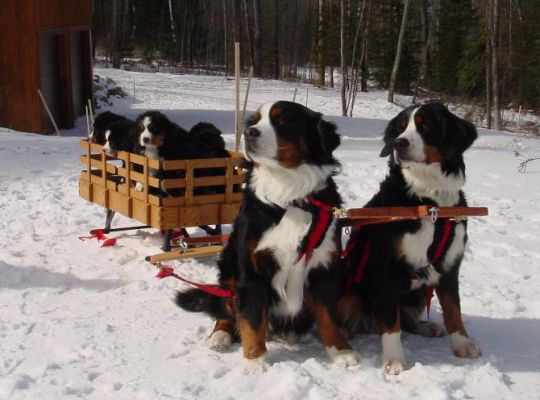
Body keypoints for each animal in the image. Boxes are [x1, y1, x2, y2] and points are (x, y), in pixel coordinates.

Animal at [177, 100, 360, 372]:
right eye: (254, 121)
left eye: (282, 120)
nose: (249, 133)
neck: (289, 192)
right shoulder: (253, 268)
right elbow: (252, 319)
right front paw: (255, 359)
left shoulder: (324, 266)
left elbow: (328, 317)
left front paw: (340, 351)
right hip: (229, 269)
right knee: (225, 310)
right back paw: (220, 336)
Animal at [340, 102, 478, 376]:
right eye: (400, 128)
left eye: (427, 125)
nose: (399, 144)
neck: (429, 202)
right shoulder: (387, 267)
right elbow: (390, 323)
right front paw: (394, 360)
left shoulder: (450, 265)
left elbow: (454, 310)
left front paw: (462, 344)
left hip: (419, 293)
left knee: (407, 319)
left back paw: (425, 326)